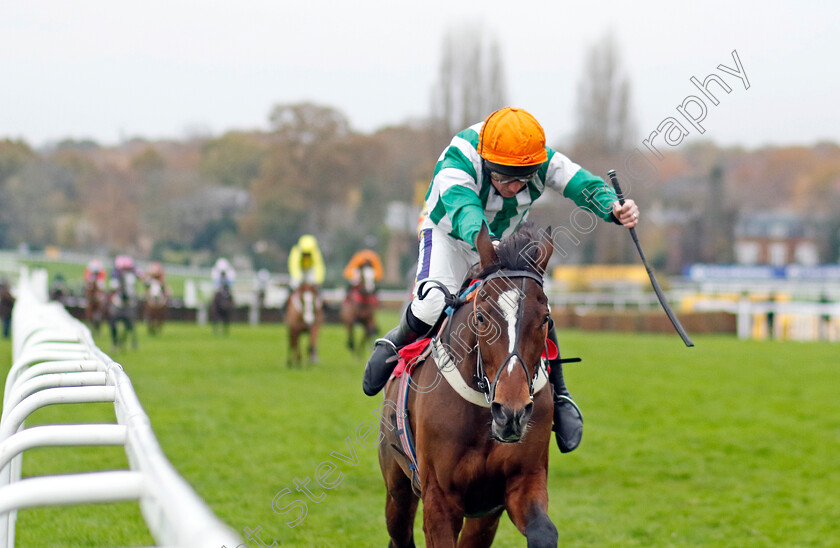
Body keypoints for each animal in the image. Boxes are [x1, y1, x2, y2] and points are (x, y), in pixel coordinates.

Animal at [378, 224, 560, 548]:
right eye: (481, 317)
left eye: (545, 319)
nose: (510, 413)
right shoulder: (439, 497)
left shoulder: (521, 482)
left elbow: (544, 533)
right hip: (397, 485)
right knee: (400, 534)